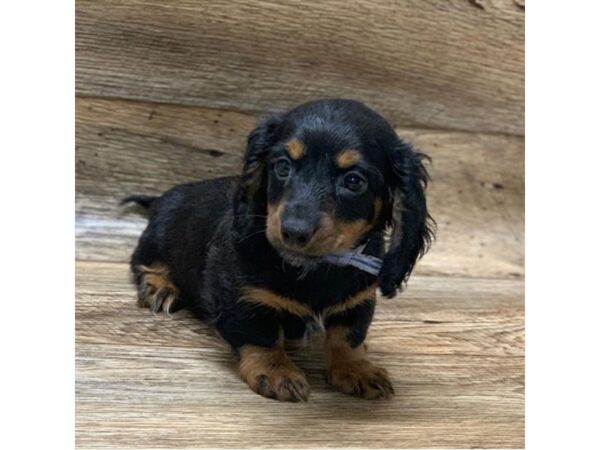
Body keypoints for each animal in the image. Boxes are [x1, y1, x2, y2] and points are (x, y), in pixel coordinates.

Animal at [123, 98, 432, 400]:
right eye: (283, 166)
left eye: (354, 181)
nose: (294, 231)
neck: (313, 269)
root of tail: (163, 197)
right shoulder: (241, 295)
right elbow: (261, 334)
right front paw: (276, 371)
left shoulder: (359, 298)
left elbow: (349, 335)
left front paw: (356, 368)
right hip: (157, 238)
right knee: (143, 262)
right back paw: (160, 287)